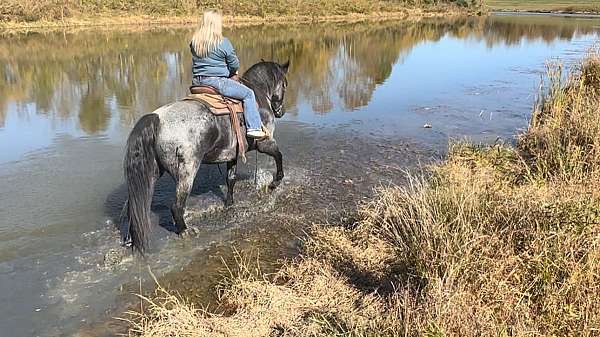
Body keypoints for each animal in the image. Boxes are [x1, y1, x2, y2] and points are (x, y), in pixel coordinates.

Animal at [122, 60, 288, 251]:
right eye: (285, 84)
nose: (281, 111)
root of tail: (157, 118)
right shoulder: (265, 143)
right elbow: (279, 156)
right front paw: (275, 182)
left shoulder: (231, 155)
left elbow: (231, 179)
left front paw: (229, 203)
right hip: (187, 172)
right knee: (176, 206)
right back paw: (185, 231)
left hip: (154, 172)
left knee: (134, 207)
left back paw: (131, 238)